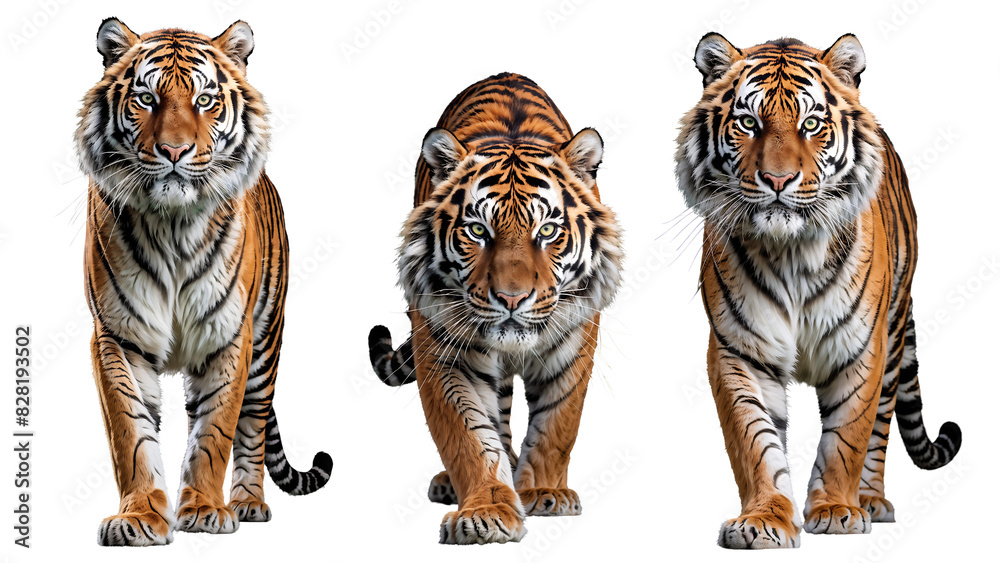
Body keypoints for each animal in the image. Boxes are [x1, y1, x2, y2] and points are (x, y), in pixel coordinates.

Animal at [76, 18, 331, 546]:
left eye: (205, 100)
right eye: (146, 99)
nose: (174, 150)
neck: (172, 224)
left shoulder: (229, 335)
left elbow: (216, 429)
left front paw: (207, 510)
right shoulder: (117, 336)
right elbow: (130, 433)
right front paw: (139, 517)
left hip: (266, 345)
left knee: (252, 425)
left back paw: (248, 503)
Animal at [367, 72, 623, 544]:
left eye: (547, 231)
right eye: (477, 231)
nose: (511, 298)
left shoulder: (574, 343)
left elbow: (558, 425)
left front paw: (543, 492)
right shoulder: (444, 353)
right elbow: (468, 434)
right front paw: (486, 510)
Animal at [675, 33, 962, 549]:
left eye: (811, 124)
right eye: (748, 123)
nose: (777, 180)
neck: (790, 252)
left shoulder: (861, 349)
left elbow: (848, 436)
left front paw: (834, 510)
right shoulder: (738, 351)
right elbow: (754, 441)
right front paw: (764, 518)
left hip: (893, 339)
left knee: (881, 427)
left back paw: (870, 500)